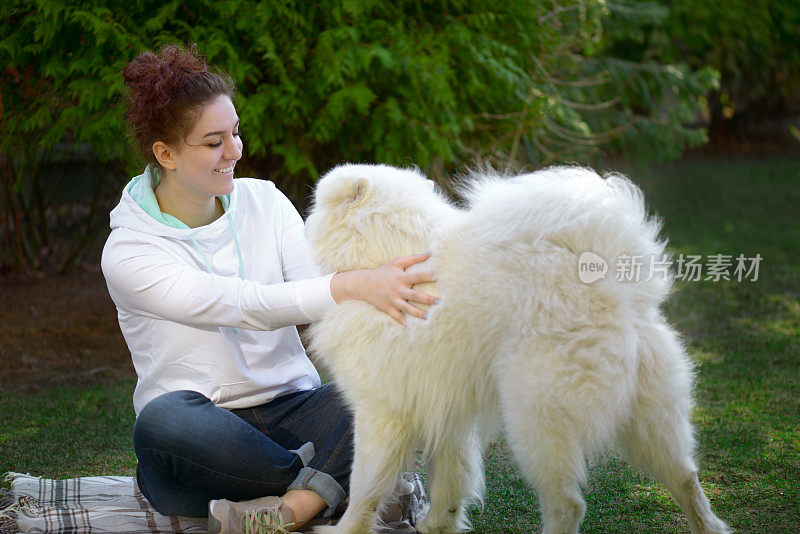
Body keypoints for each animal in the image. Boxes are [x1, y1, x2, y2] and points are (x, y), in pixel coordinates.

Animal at [304, 164, 728, 534]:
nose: (303, 221)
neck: (385, 252)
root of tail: (617, 293)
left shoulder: (380, 412)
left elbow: (365, 487)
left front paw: (345, 530)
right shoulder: (449, 411)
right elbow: (450, 478)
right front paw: (437, 525)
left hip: (535, 420)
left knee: (569, 504)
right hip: (654, 417)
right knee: (687, 478)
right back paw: (709, 527)